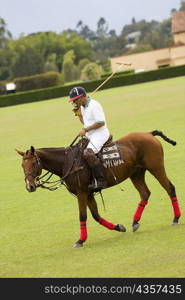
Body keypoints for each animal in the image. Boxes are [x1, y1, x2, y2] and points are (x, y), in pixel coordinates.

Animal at [15, 130, 181, 247]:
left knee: (170, 188)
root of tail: (148, 133)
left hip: (156, 167)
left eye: (34, 163)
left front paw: (80, 241)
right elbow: (95, 215)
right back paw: (135, 222)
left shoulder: (82, 192)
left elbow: (83, 216)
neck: (66, 162)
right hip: (136, 173)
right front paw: (119, 227)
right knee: (145, 193)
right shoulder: (88, 193)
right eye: (22, 165)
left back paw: (175, 218)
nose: (30, 186)